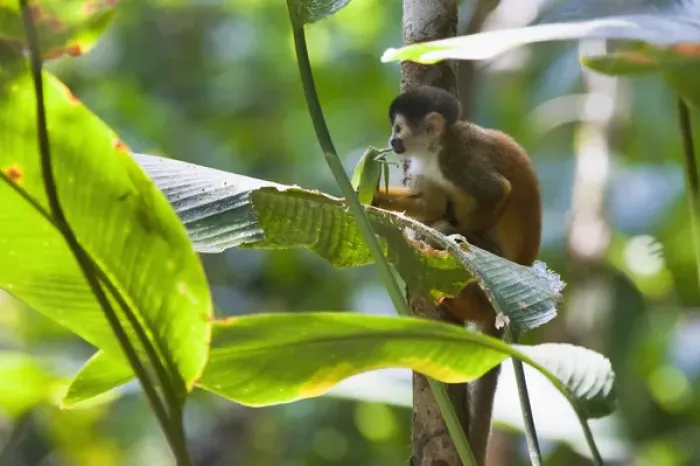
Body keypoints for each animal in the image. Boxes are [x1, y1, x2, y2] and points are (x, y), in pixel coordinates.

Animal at [372, 85, 542, 465]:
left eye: (399, 128)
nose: (392, 141)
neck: (437, 146)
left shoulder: (456, 160)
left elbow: (498, 191)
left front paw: (449, 230)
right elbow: (428, 202)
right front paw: (367, 193)